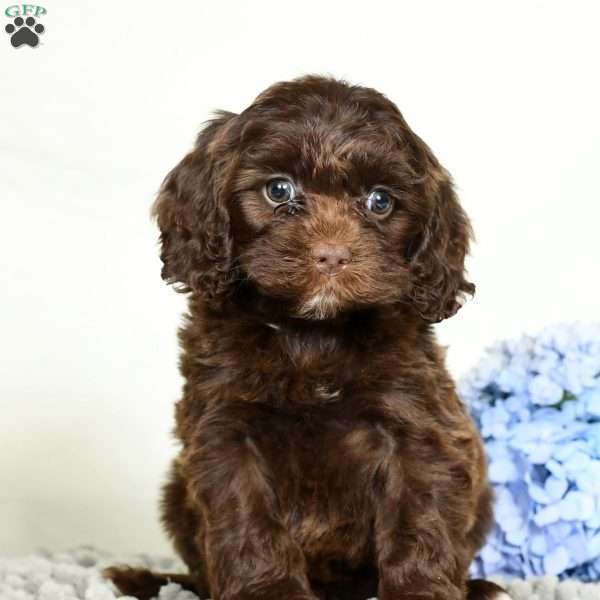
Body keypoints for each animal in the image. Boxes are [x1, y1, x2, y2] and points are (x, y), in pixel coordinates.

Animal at [104, 75, 506, 600]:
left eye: (380, 201)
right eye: (279, 190)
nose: (332, 255)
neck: (313, 333)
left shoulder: (417, 425)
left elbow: (420, 518)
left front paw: (421, 590)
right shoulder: (225, 431)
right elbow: (249, 523)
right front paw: (268, 590)